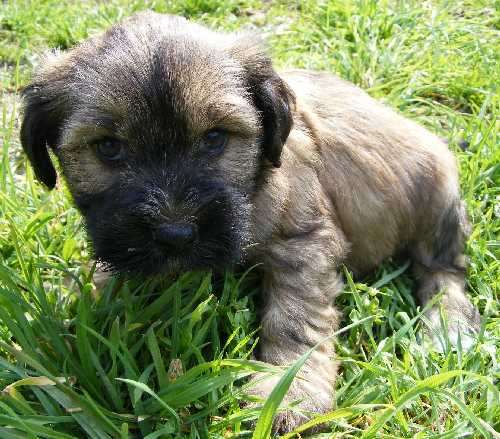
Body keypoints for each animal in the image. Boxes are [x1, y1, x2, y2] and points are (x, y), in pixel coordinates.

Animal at [20, 12, 480, 434]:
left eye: (214, 138)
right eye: (108, 148)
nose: (175, 235)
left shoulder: (305, 240)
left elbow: (295, 318)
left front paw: (291, 391)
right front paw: (76, 305)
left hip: (438, 197)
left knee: (445, 272)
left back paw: (446, 328)